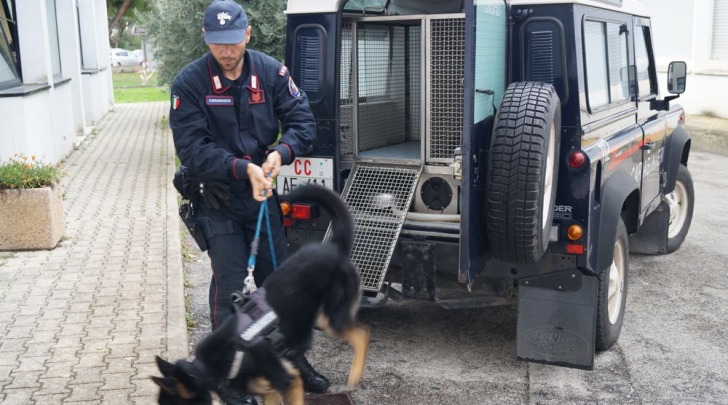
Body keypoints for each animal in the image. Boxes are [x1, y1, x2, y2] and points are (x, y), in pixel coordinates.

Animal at [152, 184, 370, 404]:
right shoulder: (269, 390)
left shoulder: (289, 381)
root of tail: (333, 247)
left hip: (331, 318)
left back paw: (355, 374)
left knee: (362, 333)